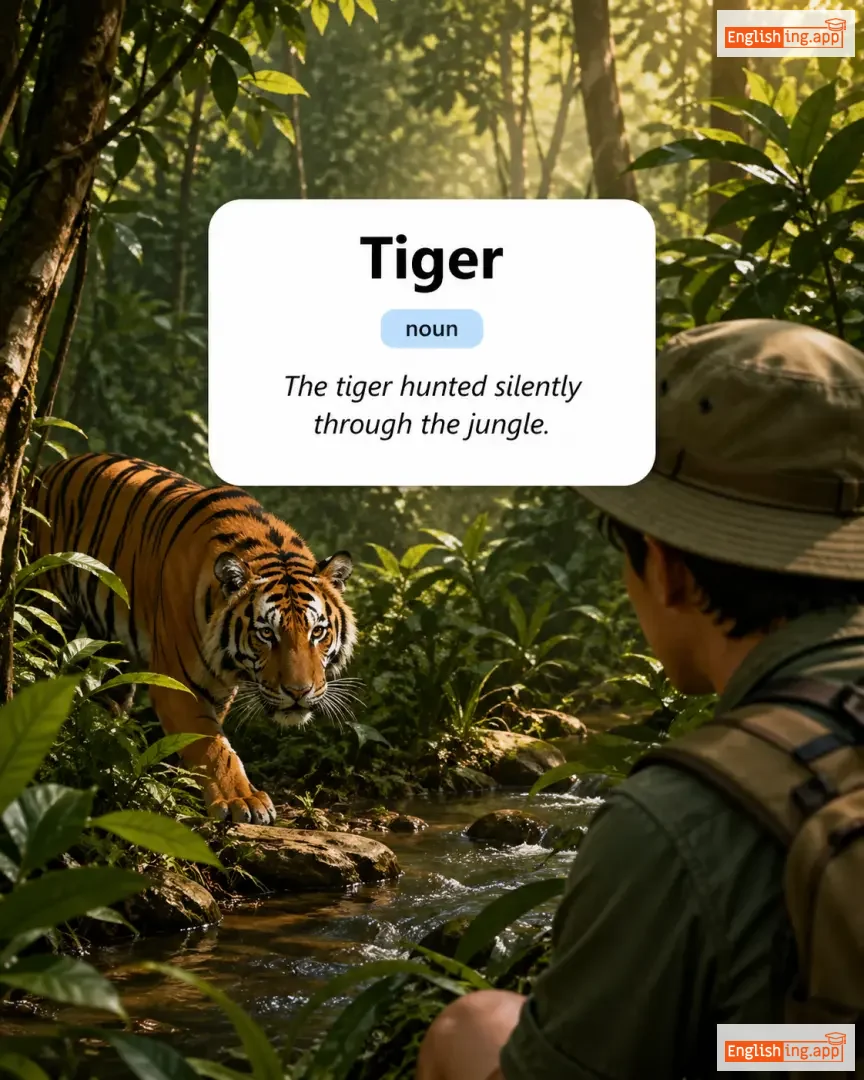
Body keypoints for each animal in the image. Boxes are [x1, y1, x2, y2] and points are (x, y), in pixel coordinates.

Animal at [32, 453, 356, 825]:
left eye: (317, 632)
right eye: (266, 633)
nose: (299, 693)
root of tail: (47, 470)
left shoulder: (216, 687)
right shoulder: (178, 682)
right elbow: (212, 745)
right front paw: (242, 800)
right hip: (44, 611)